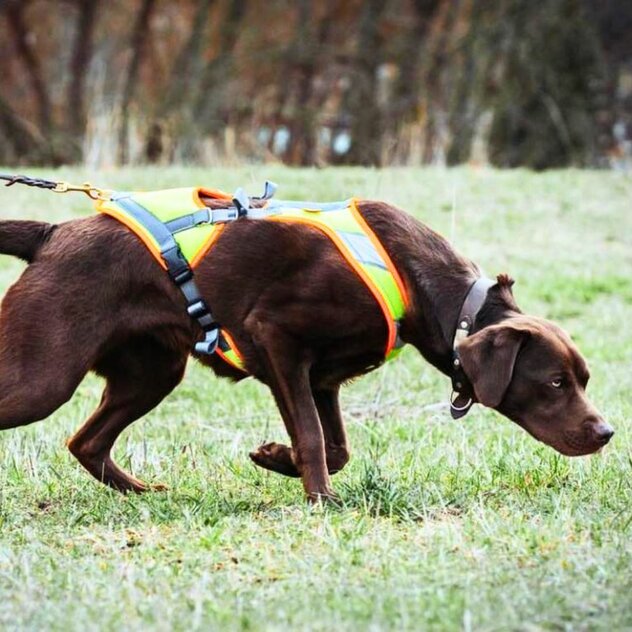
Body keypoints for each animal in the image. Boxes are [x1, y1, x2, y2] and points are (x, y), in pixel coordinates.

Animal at [0, 198, 612, 498]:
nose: (606, 432)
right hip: (43, 375)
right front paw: (320, 498)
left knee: (85, 442)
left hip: (151, 373)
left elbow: (335, 446)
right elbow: (318, 441)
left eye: (583, 380)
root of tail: (54, 232)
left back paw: (142, 492)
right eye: (555, 382)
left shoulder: (322, 378)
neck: (433, 291)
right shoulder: (278, 340)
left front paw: (277, 459)